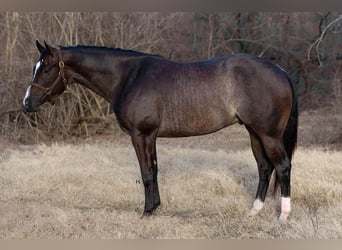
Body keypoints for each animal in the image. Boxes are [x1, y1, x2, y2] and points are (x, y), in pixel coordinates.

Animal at [23, 40, 296, 221]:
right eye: (35, 67)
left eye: (45, 68)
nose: (27, 103)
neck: (128, 77)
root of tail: (280, 70)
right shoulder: (151, 136)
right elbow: (153, 170)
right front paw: (155, 207)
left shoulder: (140, 135)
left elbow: (145, 172)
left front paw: (146, 212)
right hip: (254, 132)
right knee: (264, 167)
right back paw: (254, 211)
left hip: (269, 134)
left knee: (282, 166)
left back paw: (283, 216)